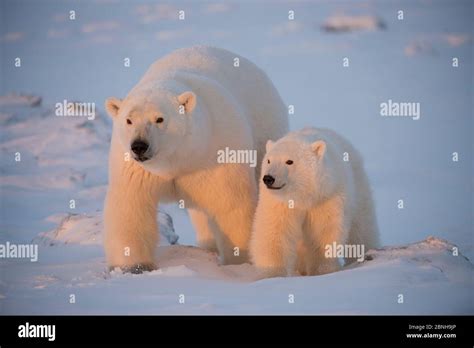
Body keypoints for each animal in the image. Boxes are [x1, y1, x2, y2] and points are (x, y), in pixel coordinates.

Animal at [104, 45, 288, 272]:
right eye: (129, 120)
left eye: (159, 119)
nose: (139, 146)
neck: (178, 159)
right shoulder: (134, 168)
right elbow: (131, 205)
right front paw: (134, 265)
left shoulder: (217, 153)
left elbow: (231, 204)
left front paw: (239, 261)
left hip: (265, 133)